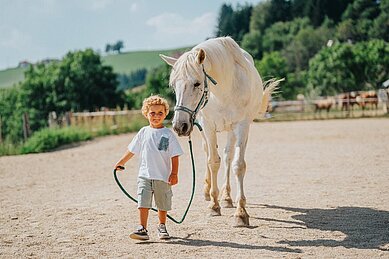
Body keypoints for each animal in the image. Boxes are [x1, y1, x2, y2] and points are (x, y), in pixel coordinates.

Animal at [159, 36, 280, 228]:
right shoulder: (207, 126)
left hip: (231, 130)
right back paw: (208, 191)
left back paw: (227, 197)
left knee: (228, 156)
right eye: (173, 86)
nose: (179, 126)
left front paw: (240, 213)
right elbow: (213, 162)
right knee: (209, 152)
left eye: (197, 83)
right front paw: (214, 206)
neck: (224, 90)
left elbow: (238, 165)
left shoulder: (241, 126)